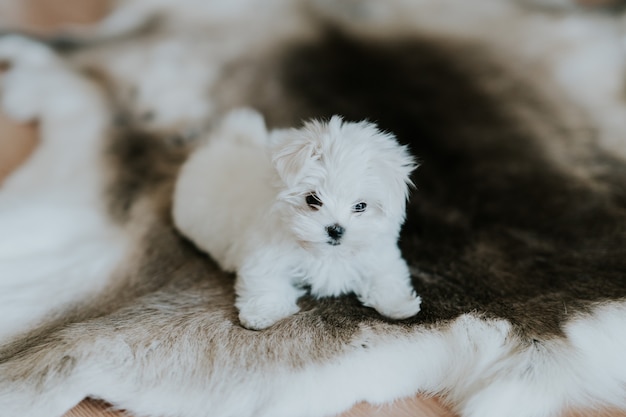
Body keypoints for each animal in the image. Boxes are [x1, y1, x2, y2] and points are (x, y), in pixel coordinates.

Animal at [173, 109, 422, 330]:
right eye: (312, 199)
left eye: (361, 206)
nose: (335, 229)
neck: (326, 254)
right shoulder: (265, 252)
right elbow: (267, 281)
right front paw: (262, 313)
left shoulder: (379, 252)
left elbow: (387, 274)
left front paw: (399, 304)